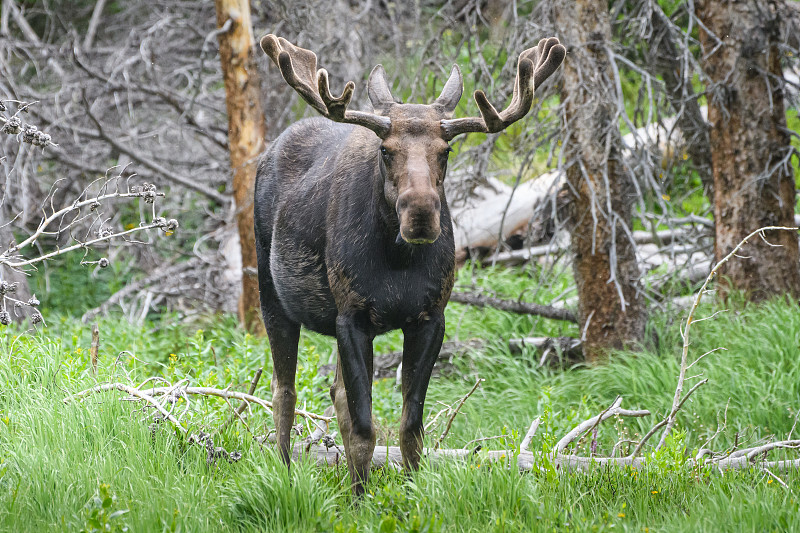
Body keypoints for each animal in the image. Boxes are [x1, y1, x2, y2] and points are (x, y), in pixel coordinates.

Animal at [255, 34, 564, 494]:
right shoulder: (352, 316)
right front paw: (359, 500)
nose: (420, 212)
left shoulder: (430, 317)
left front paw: (413, 492)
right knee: (284, 391)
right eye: (386, 150)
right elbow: (365, 430)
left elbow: (410, 428)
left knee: (335, 393)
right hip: (270, 295)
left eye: (446, 149)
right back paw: (286, 472)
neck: (398, 262)